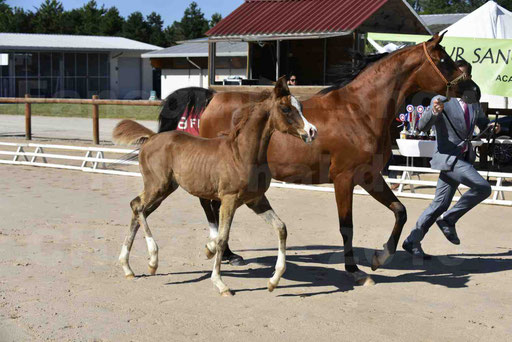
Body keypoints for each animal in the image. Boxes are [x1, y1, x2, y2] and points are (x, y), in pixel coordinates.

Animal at [114, 77, 318, 294]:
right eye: (286, 108)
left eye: (301, 107)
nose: (312, 131)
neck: (242, 154)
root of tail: (151, 137)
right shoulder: (229, 199)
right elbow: (222, 238)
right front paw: (220, 283)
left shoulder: (256, 200)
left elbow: (281, 228)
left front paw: (274, 280)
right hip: (157, 186)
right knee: (137, 206)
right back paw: (152, 260)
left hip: (165, 189)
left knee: (138, 210)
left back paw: (128, 267)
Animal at [158, 34, 482, 286]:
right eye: (444, 60)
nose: (474, 91)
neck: (360, 110)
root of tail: (212, 96)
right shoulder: (344, 180)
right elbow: (346, 225)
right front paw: (354, 270)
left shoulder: (370, 177)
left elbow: (400, 211)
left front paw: (380, 257)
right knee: (209, 205)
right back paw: (221, 251)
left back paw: (226, 252)